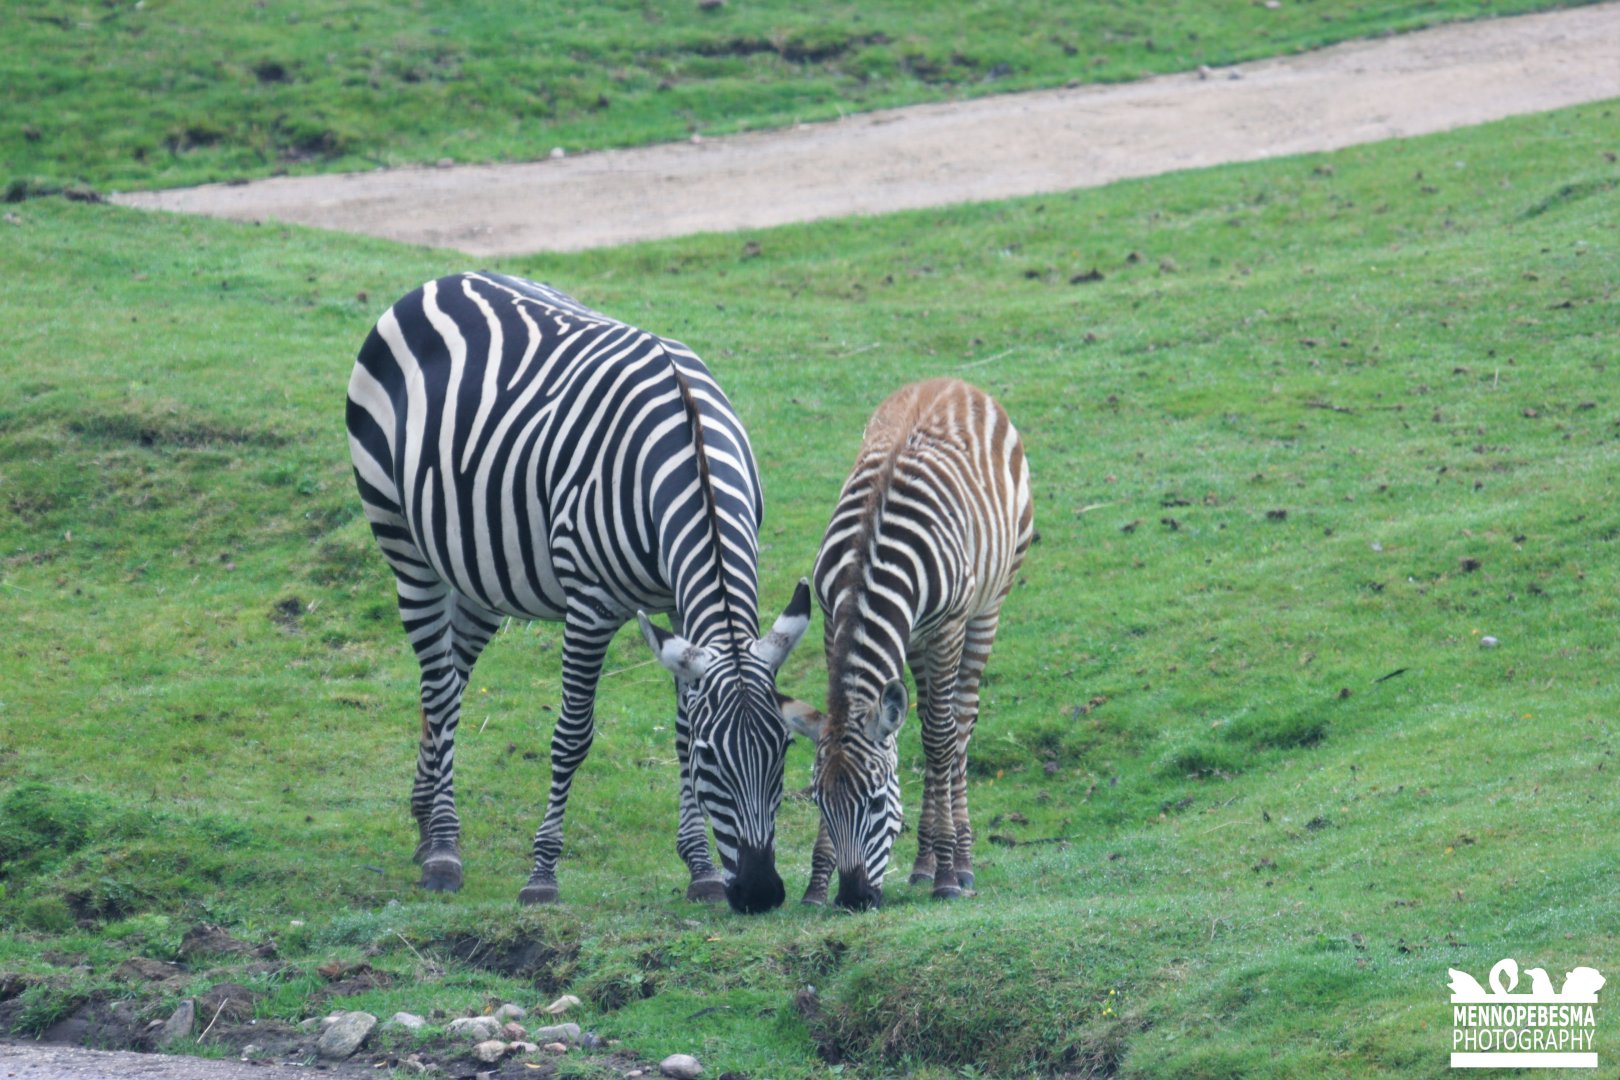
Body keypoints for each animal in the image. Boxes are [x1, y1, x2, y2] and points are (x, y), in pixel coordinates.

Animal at [346, 271, 811, 914]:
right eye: (713, 759)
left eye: (784, 750)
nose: (762, 892)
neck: (688, 455)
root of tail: (441, 280)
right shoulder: (590, 605)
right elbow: (572, 736)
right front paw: (542, 875)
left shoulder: (677, 609)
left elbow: (678, 729)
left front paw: (700, 870)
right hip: (403, 543)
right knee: (438, 692)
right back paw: (442, 850)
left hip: (481, 571)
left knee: (449, 682)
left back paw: (424, 821)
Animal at [784, 378, 1033, 910]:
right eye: (818, 801)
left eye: (878, 801)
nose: (854, 898)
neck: (867, 564)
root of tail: (951, 382)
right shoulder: (831, 620)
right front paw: (816, 885)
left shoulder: (947, 628)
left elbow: (940, 740)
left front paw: (948, 876)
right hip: (916, 642)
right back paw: (922, 863)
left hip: (985, 609)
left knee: (958, 725)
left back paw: (958, 860)